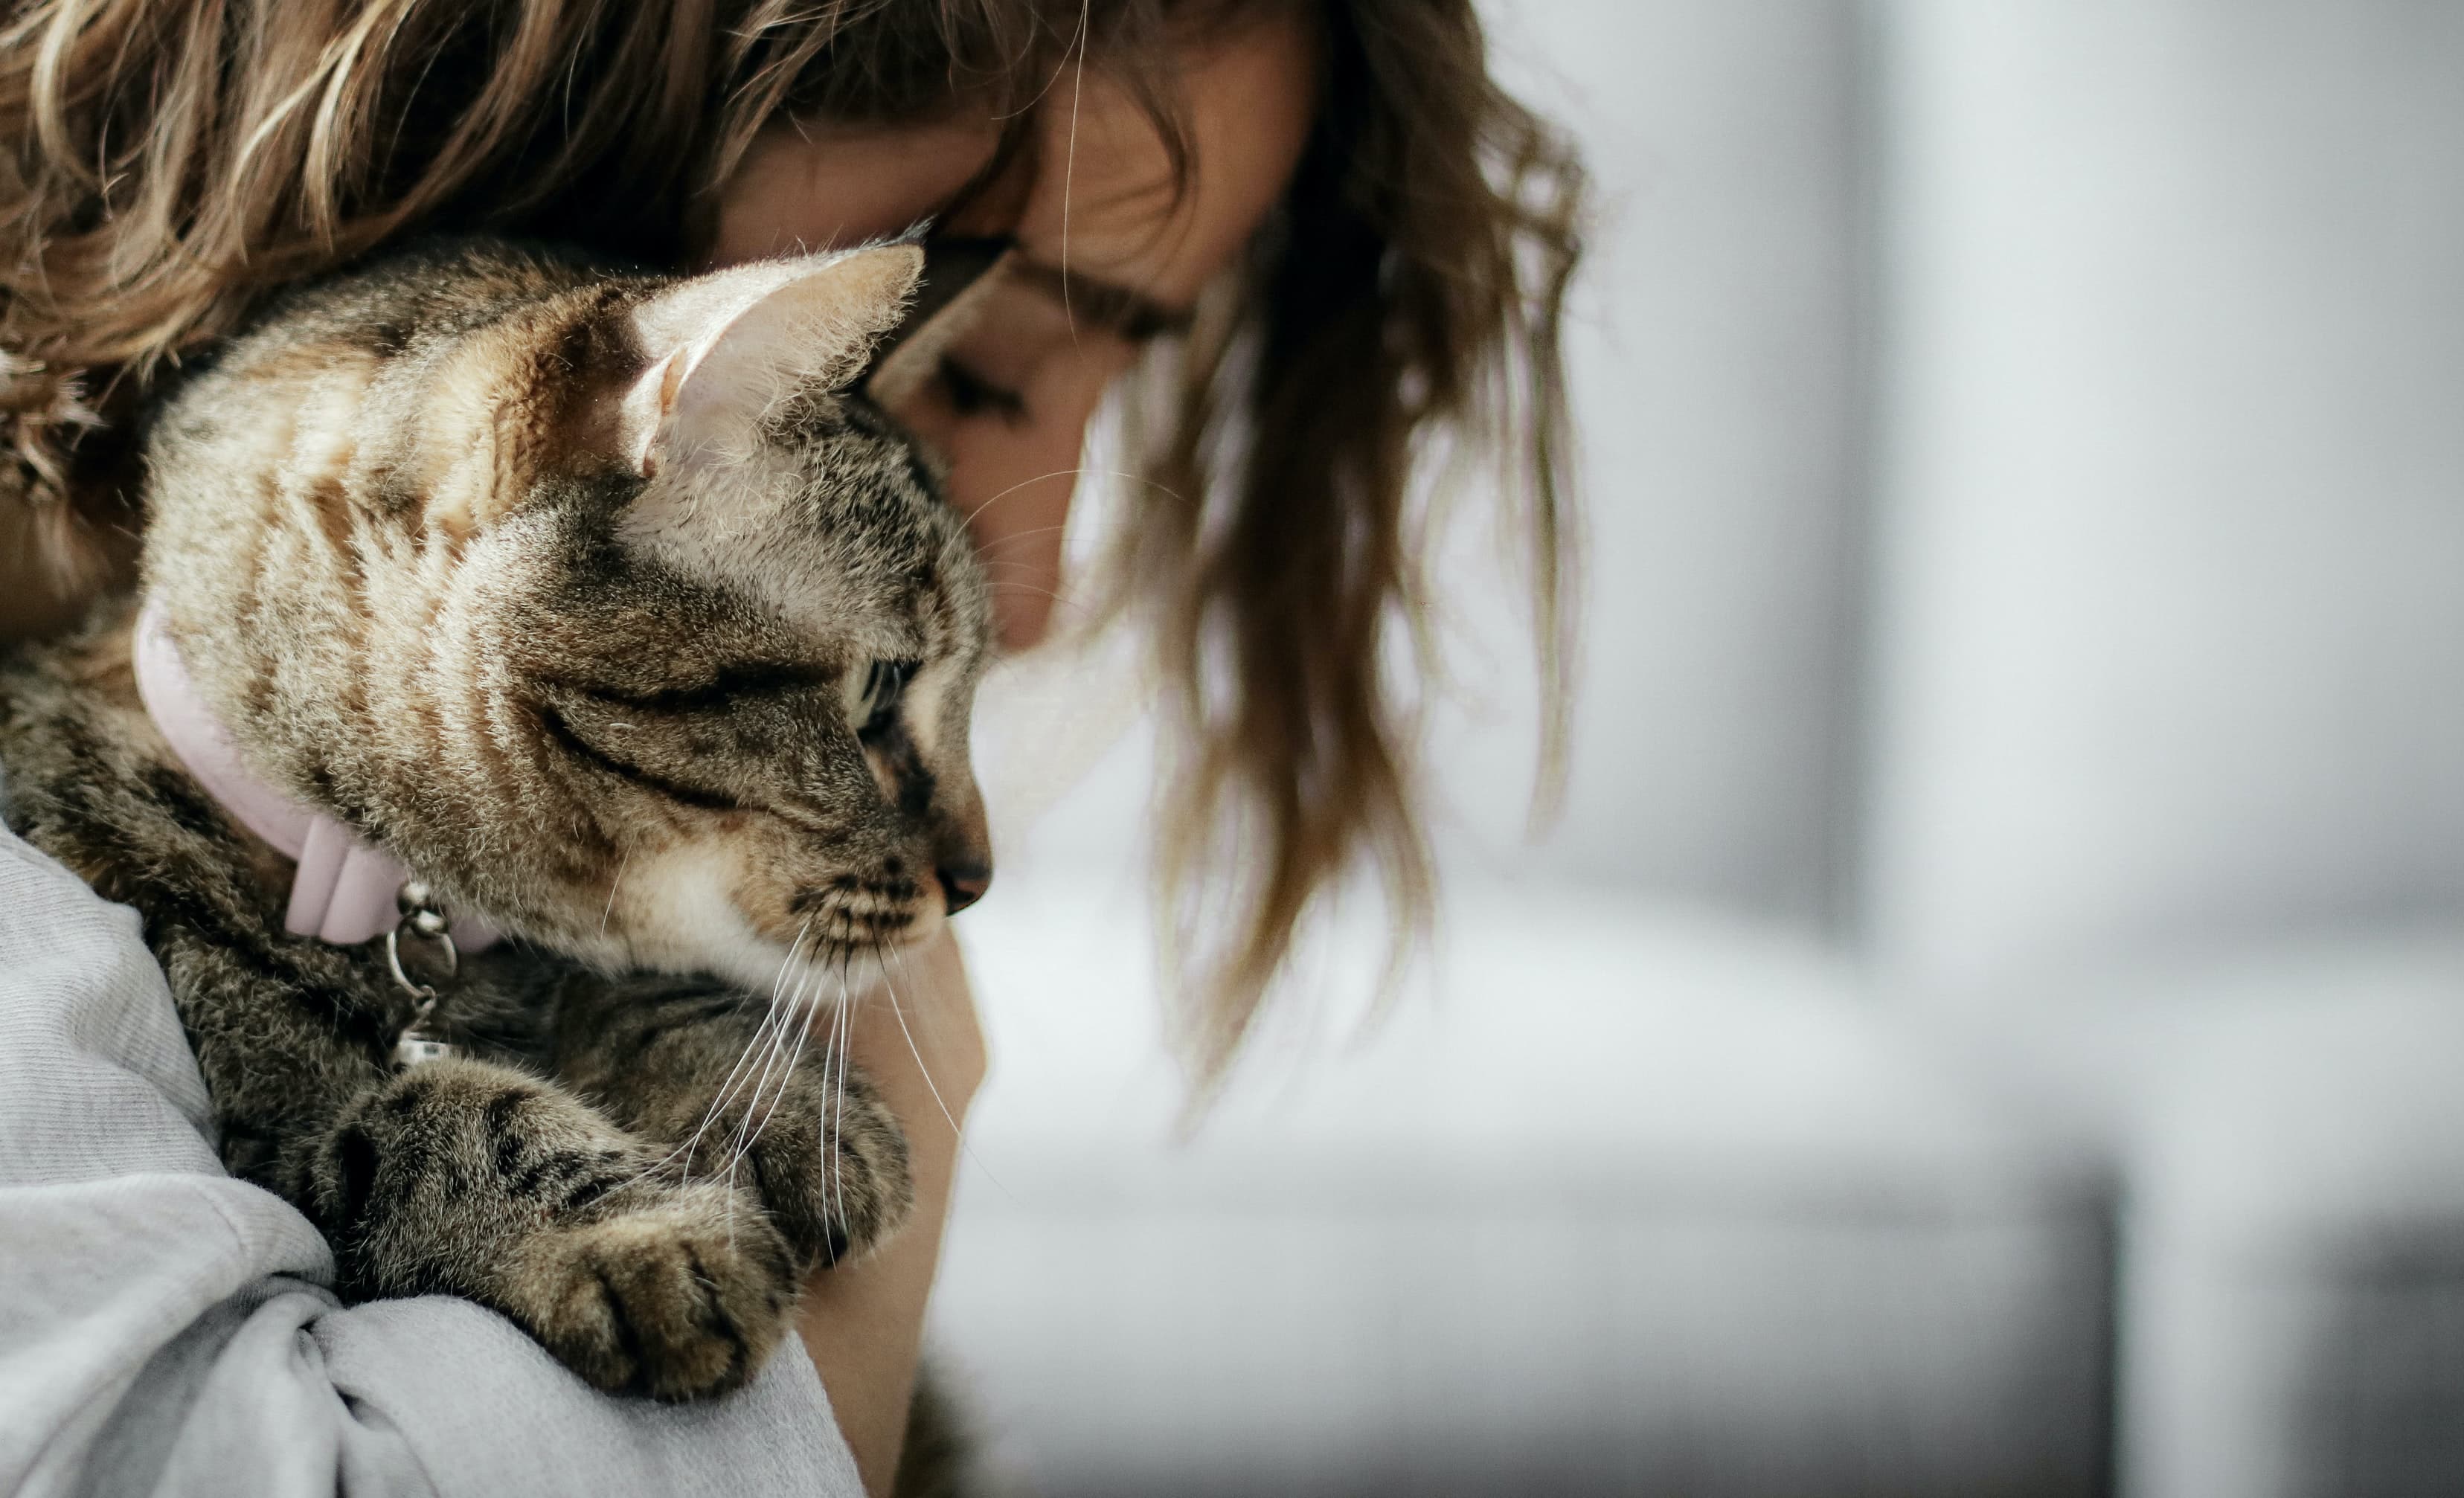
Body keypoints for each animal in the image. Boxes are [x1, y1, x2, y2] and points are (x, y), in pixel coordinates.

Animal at [4, 234, 1000, 1399]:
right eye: (880, 695)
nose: (979, 880)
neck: (378, 891)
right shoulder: (280, 1137)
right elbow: (440, 1114)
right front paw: (645, 1230)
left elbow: (633, 985)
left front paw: (780, 1098)